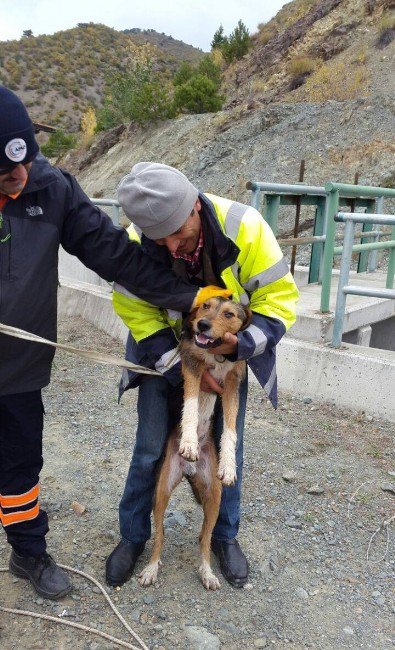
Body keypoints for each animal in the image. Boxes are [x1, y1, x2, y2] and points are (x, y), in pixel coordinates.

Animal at [138, 296, 252, 588]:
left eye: (229, 313)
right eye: (204, 306)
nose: (202, 324)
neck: (215, 353)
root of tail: (189, 471)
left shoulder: (232, 383)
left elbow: (231, 429)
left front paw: (229, 465)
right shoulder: (191, 366)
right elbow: (190, 404)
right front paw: (189, 442)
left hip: (214, 498)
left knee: (205, 539)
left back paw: (207, 572)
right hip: (161, 492)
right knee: (160, 536)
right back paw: (151, 568)